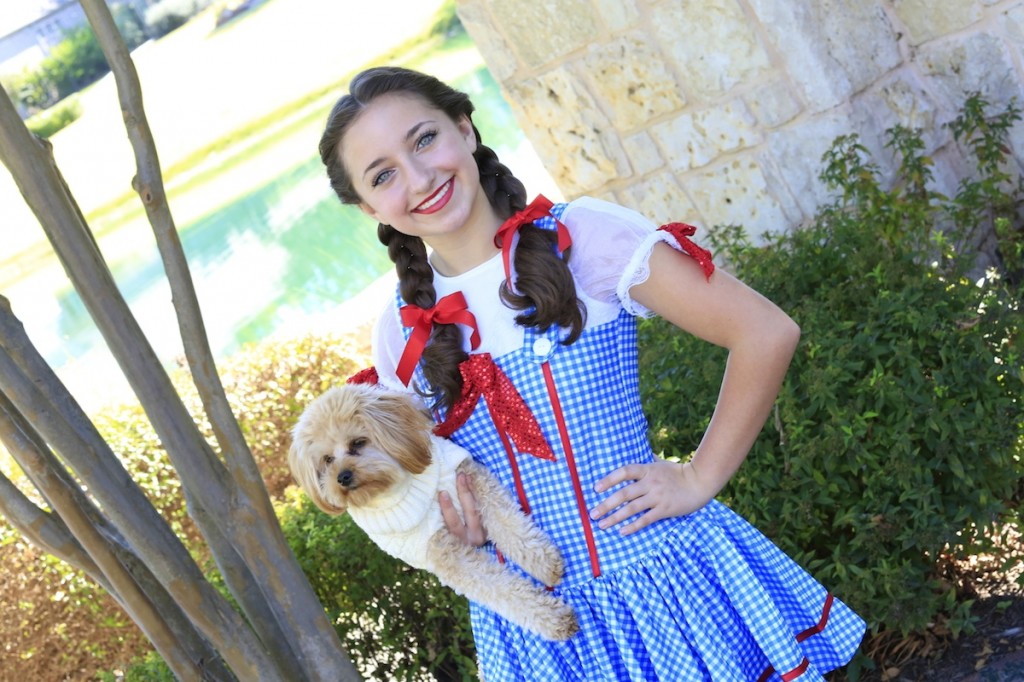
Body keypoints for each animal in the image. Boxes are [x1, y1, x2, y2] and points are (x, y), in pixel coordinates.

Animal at [288, 385, 581, 638]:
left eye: (358, 443)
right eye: (327, 460)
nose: (343, 477)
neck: (408, 491)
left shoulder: (468, 477)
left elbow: (507, 521)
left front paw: (543, 562)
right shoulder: (442, 553)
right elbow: (501, 589)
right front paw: (554, 619)